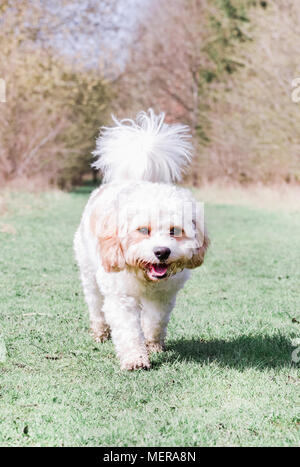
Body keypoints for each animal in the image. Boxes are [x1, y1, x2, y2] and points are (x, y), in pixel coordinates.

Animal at [73, 110, 209, 372]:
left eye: (174, 231)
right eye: (143, 230)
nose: (162, 252)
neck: (145, 278)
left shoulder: (163, 296)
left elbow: (155, 321)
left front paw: (153, 345)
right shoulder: (120, 297)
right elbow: (128, 330)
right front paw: (135, 358)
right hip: (89, 273)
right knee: (95, 304)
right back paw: (100, 332)